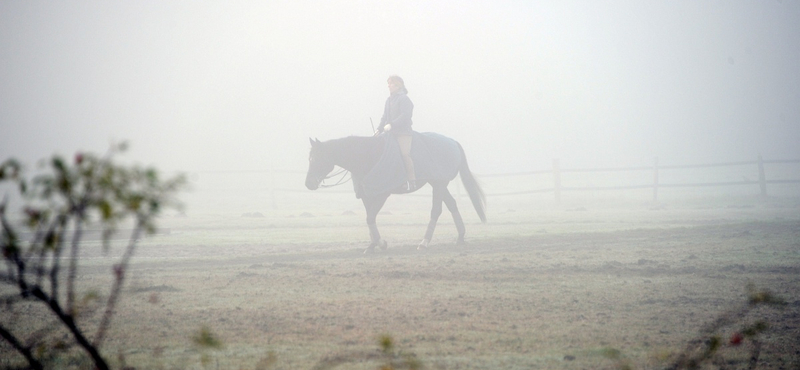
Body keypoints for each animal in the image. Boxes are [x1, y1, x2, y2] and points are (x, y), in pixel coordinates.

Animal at [304, 132, 482, 253]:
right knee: (452, 204)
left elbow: (370, 218)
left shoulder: (382, 194)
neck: (366, 156)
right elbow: (369, 218)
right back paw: (460, 237)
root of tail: (452, 142)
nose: (308, 183)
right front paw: (373, 244)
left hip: (438, 185)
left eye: (317, 159)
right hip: (438, 184)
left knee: (436, 210)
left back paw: (424, 242)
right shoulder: (367, 195)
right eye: (309, 158)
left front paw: (380, 244)